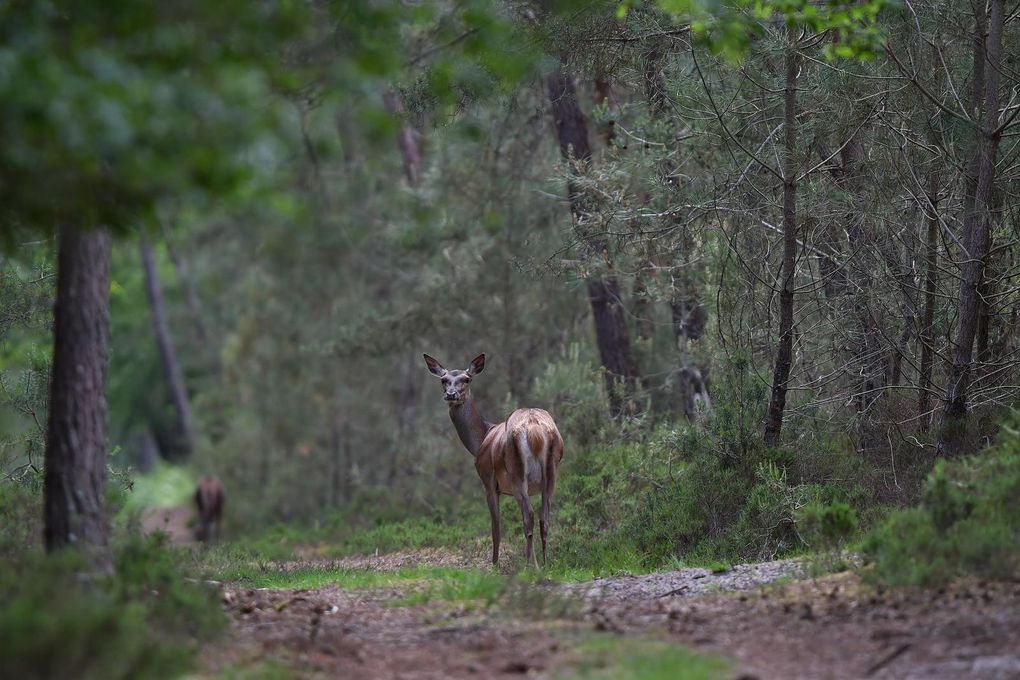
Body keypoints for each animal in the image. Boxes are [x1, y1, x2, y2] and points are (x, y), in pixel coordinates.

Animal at [422, 354, 567, 570]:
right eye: (443, 379)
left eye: (466, 379)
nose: (451, 394)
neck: (481, 439)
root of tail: (535, 429)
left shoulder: (488, 481)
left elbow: (495, 527)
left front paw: (495, 565)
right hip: (551, 473)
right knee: (544, 518)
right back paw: (545, 563)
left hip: (516, 472)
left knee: (529, 516)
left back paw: (530, 565)